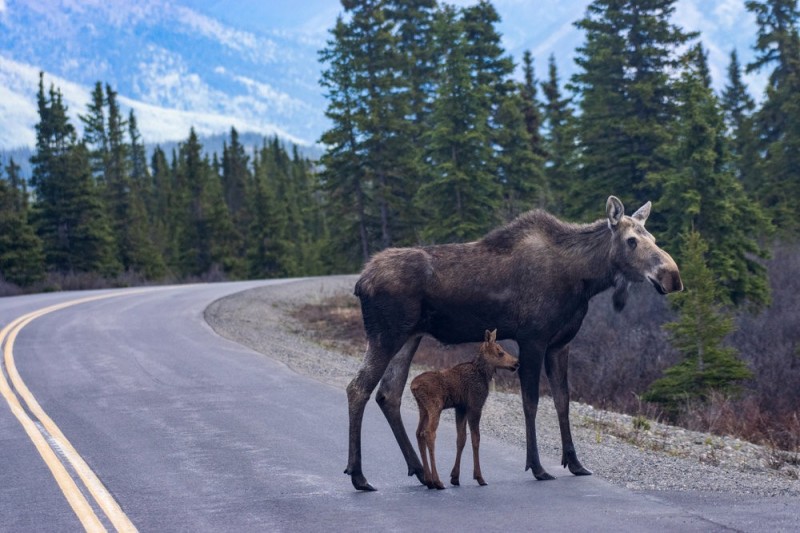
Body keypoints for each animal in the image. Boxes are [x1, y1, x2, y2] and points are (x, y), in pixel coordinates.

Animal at [410, 328, 520, 490]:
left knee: (419, 433)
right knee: (429, 433)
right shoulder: (475, 405)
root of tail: (413, 386)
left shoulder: (460, 408)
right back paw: (437, 481)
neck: (484, 374)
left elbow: (461, 439)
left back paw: (429, 480)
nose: (516, 363)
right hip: (435, 406)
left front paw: (455, 477)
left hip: (423, 408)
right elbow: (476, 438)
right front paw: (479, 477)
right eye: (500, 352)